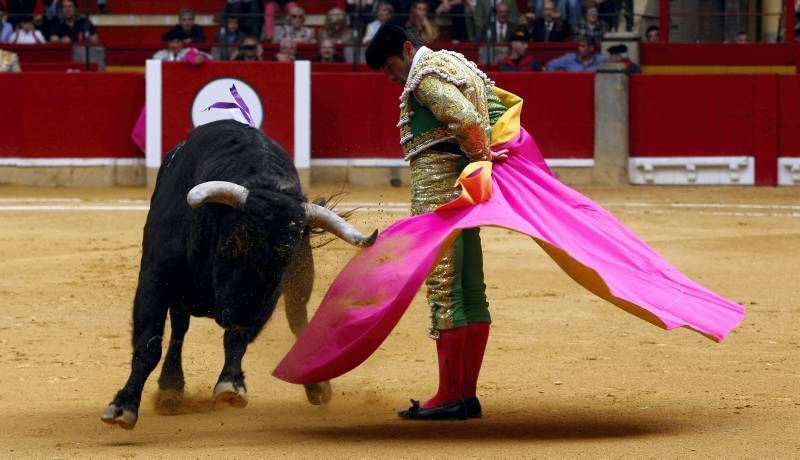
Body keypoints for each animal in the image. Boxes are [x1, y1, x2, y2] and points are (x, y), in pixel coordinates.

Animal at [101, 120, 376, 430]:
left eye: (284, 258)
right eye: (234, 243)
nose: (235, 315)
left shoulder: (266, 296)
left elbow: (237, 339)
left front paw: (231, 384)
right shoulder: (156, 277)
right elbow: (149, 344)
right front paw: (123, 406)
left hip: (299, 281)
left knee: (297, 318)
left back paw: (316, 386)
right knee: (179, 329)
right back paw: (171, 389)